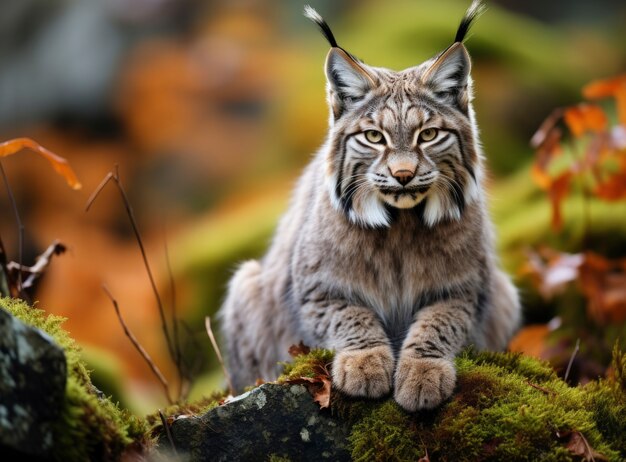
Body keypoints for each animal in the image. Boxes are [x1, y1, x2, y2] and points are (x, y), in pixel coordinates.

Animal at [219, 0, 516, 412]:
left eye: (429, 135)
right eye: (374, 137)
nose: (404, 174)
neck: (401, 225)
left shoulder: (468, 289)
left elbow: (439, 322)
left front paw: (423, 372)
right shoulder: (316, 288)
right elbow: (349, 316)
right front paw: (364, 363)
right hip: (247, 283)